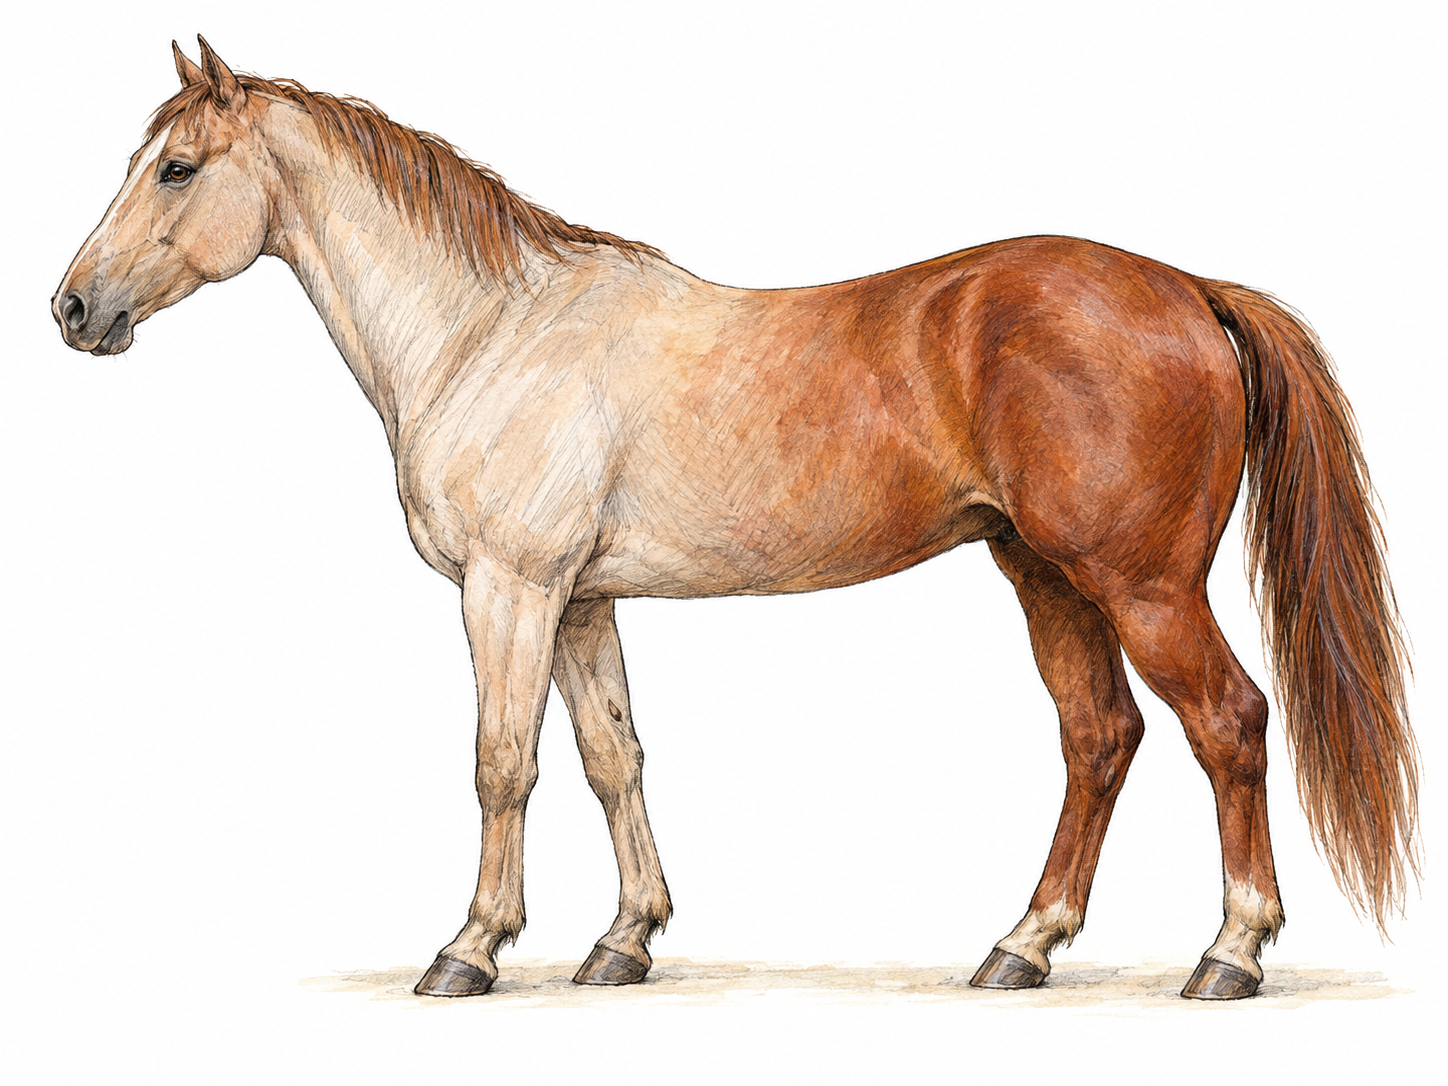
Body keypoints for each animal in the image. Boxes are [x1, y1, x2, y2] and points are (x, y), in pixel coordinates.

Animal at [53, 38, 1417, 1000]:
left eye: (176, 168)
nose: (72, 308)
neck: (493, 329)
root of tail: (1185, 287)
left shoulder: (509, 588)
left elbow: (502, 764)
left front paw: (470, 950)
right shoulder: (582, 599)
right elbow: (611, 758)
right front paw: (624, 941)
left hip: (1139, 584)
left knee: (1227, 723)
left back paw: (1228, 955)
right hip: (1044, 576)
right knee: (1099, 738)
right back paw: (1020, 947)